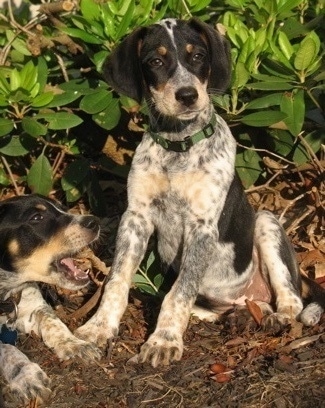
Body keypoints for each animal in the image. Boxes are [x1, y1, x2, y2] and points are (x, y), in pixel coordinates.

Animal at [0, 194, 100, 402]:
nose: (95, 221)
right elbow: (7, 350)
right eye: (37, 218)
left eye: (63, 208)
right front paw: (27, 376)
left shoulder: (34, 306)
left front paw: (76, 345)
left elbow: (54, 323)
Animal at [75, 18, 324, 366]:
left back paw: (277, 317)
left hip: (266, 222)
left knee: (291, 299)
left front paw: (163, 340)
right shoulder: (135, 218)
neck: (177, 146)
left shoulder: (202, 226)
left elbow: (180, 291)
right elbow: (117, 280)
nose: (188, 95)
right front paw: (99, 326)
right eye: (155, 61)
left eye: (197, 57)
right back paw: (243, 315)